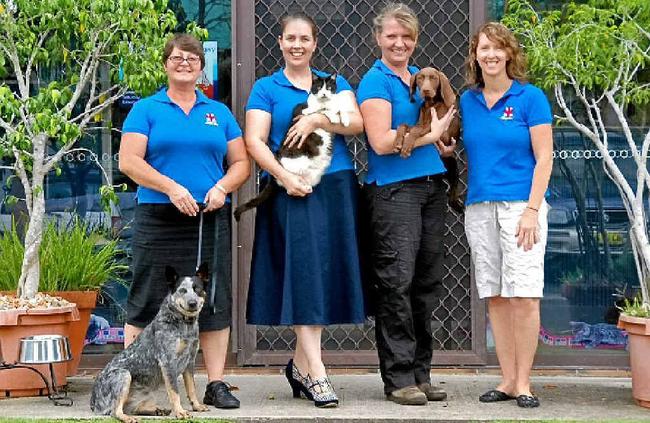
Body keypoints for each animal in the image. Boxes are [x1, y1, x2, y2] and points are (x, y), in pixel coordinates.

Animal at [88, 264, 209, 422]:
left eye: (197, 289)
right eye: (182, 290)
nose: (192, 303)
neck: (184, 325)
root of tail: (93, 400)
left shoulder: (190, 362)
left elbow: (192, 388)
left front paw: (197, 406)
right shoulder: (168, 362)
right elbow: (174, 391)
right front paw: (180, 412)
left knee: (133, 408)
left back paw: (157, 411)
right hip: (124, 375)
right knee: (115, 411)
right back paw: (128, 417)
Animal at [234, 72, 350, 220]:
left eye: (329, 87)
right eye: (319, 88)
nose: (324, 94)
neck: (325, 102)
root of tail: (272, 177)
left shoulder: (334, 104)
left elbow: (340, 108)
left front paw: (344, 119)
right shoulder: (303, 111)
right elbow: (320, 110)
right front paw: (332, 116)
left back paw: (307, 187)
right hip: (298, 162)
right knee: (289, 182)